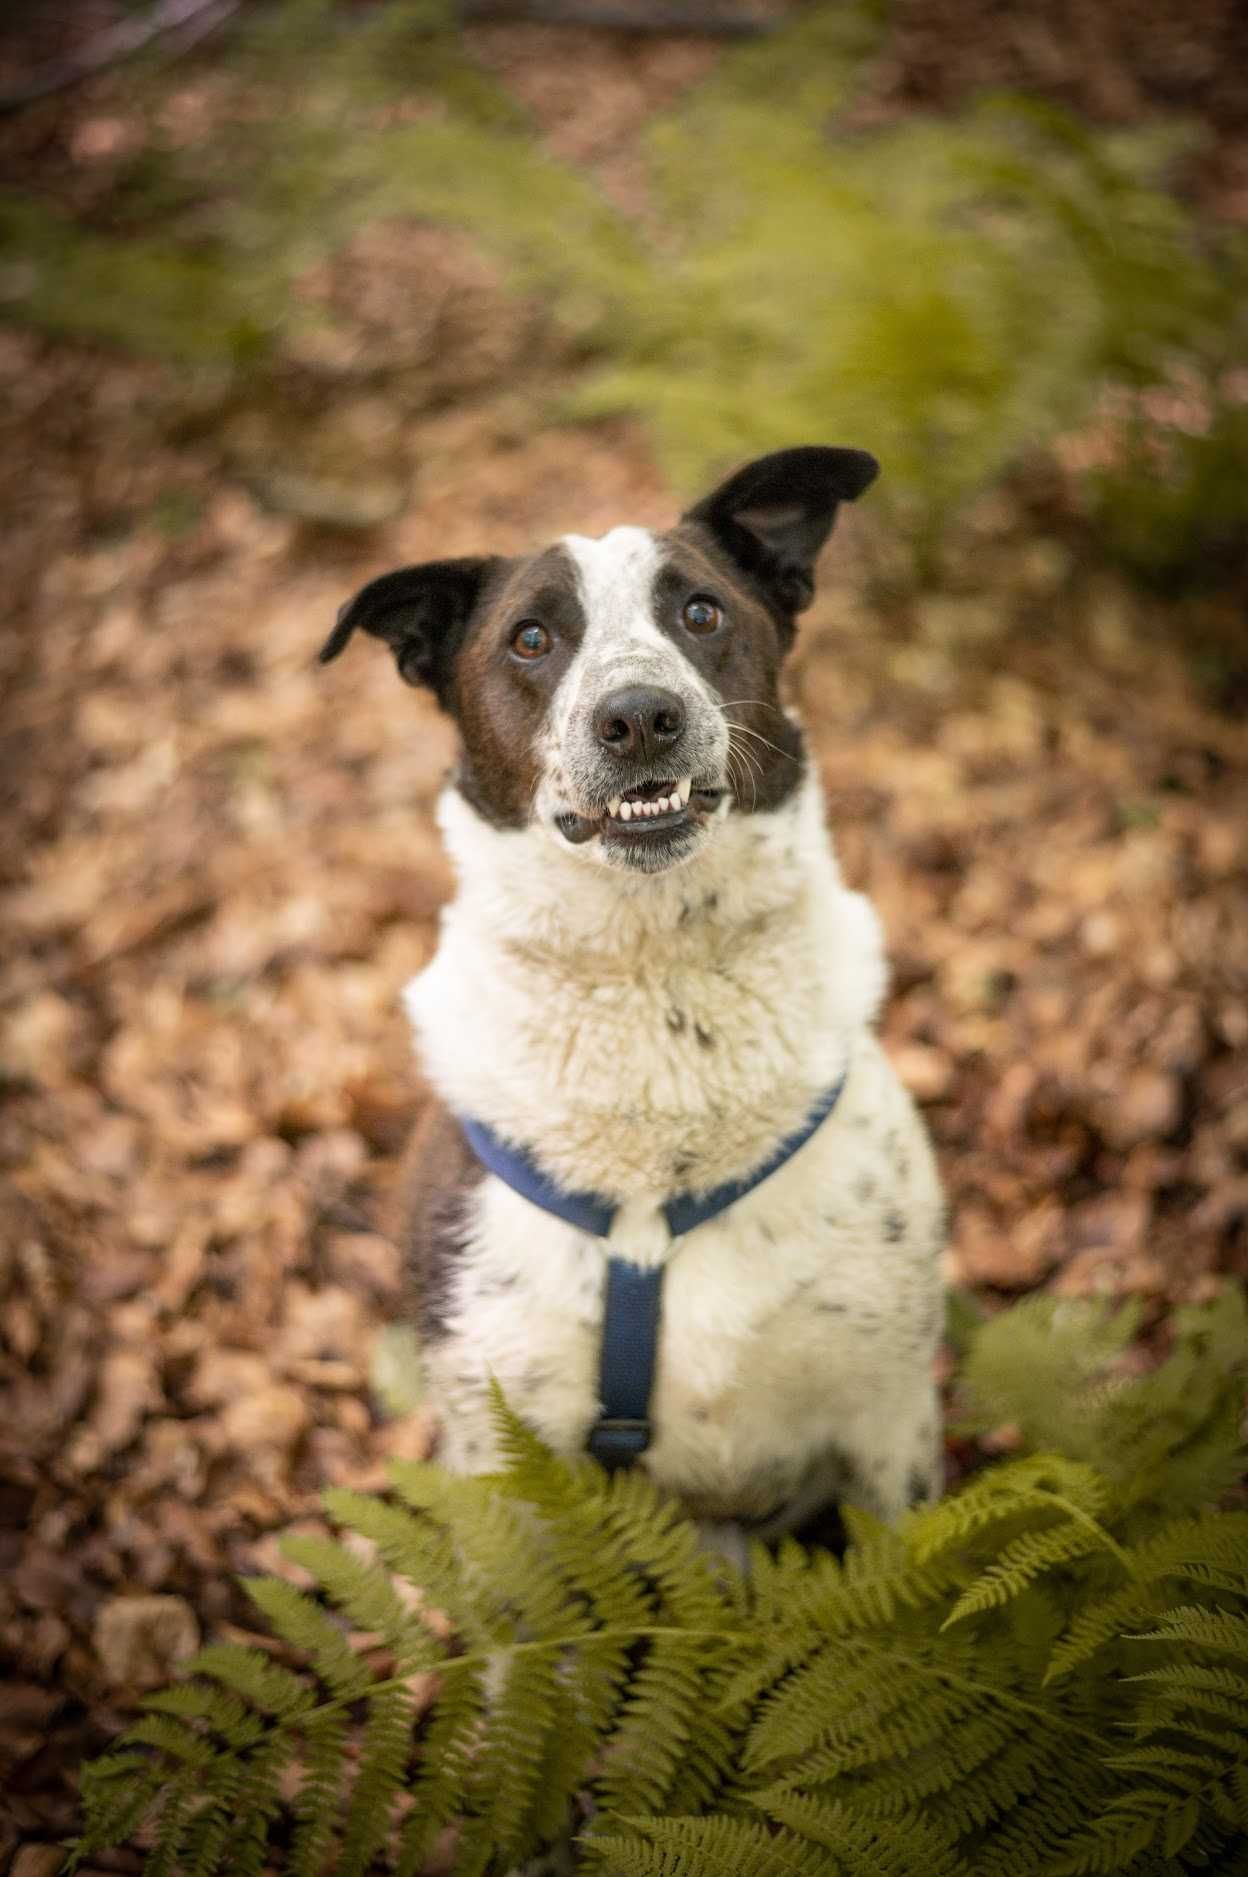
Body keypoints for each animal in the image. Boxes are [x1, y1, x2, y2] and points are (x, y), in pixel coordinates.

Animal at [320, 446, 945, 1546]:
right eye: (530, 638)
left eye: (700, 611)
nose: (641, 716)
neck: (657, 983)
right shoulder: (503, 1446)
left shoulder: (890, 1415)